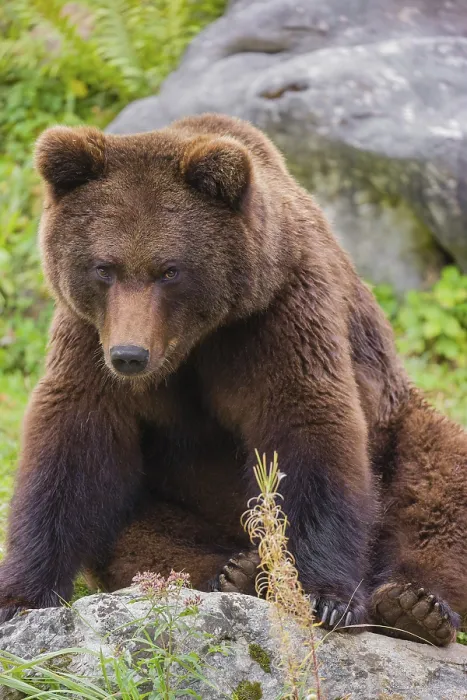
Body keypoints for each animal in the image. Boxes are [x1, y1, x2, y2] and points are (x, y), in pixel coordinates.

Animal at [0, 113, 466, 648]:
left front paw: (323, 595)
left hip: (399, 421)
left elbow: (307, 428)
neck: (196, 339)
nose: (130, 356)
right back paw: (232, 572)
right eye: (104, 267)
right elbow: (72, 446)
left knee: (438, 481)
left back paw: (415, 604)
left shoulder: (280, 315)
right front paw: (20, 597)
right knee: (133, 533)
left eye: (169, 270)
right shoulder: (90, 337)